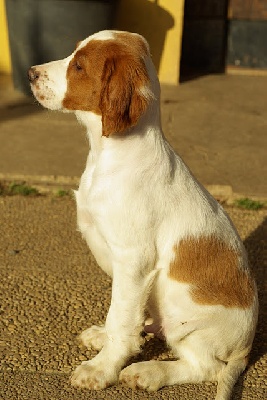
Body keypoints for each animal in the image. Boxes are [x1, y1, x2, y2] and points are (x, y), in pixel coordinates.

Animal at [29, 31, 260, 400]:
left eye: (78, 66)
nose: (31, 73)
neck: (108, 154)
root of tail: (247, 348)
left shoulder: (133, 259)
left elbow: (122, 319)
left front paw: (101, 370)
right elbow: (122, 316)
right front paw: (105, 342)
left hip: (189, 327)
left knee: (206, 367)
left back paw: (148, 372)